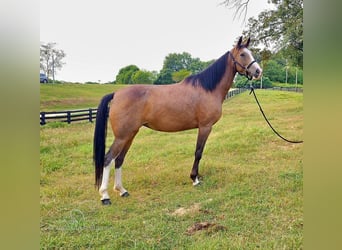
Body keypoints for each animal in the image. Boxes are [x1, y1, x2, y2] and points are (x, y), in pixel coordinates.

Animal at [93, 37, 262, 205]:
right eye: (242, 54)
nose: (258, 71)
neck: (208, 89)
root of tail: (116, 94)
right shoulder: (205, 127)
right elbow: (198, 152)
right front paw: (195, 179)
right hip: (122, 136)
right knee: (108, 159)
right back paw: (105, 195)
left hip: (130, 134)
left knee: (119, 159)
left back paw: (122, 190)